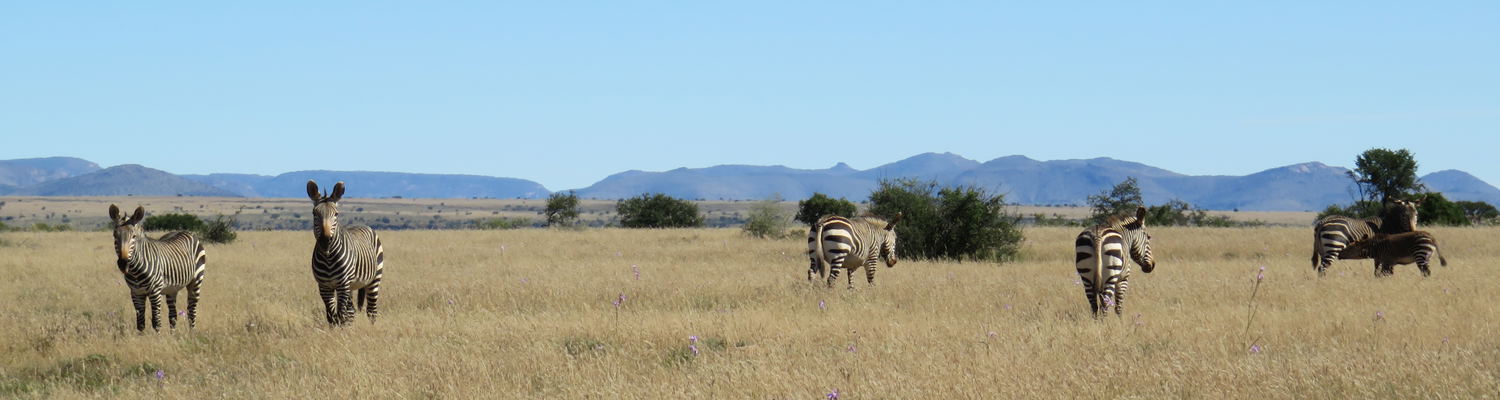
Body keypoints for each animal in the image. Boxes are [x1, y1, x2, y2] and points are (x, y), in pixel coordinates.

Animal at [307, 180, 386, 326]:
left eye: (336, 214)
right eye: (314, 213)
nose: (325, 241)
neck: (328, 258)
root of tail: (364, 225)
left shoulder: (343, 285)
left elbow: (340, 315)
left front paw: (343, 331)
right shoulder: (324, 287)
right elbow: (331, 317)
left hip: (374, 278)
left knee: (371, 311)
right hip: (351, 285)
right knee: (352, 311)